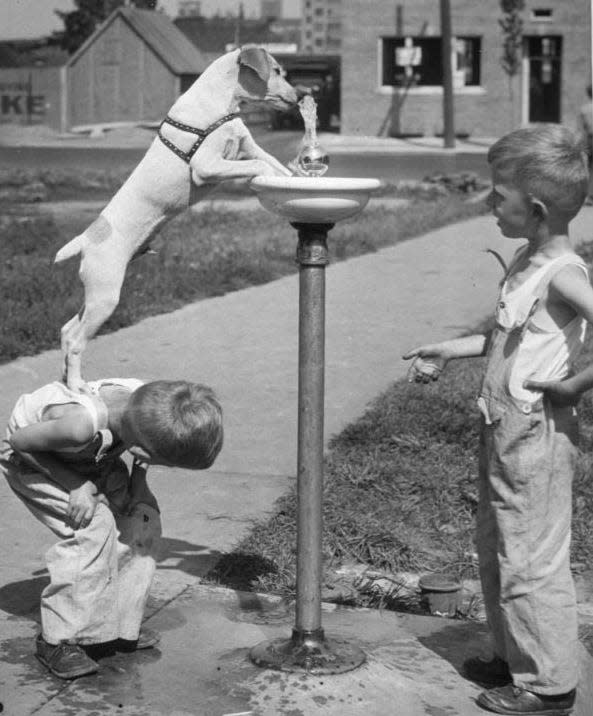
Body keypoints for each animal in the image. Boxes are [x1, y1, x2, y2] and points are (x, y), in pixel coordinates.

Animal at [55, 43, 298, 392]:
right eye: (276, 71)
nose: (300, 96)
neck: (220, 105)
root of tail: (86, 238)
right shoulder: (207, 167)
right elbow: (261, 167)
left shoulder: (249, 148)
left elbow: (275, 163)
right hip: (105, 296)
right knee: (76, 341)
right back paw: (76, 386)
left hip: (94, 295)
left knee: (66, 330)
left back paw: (66, 380)